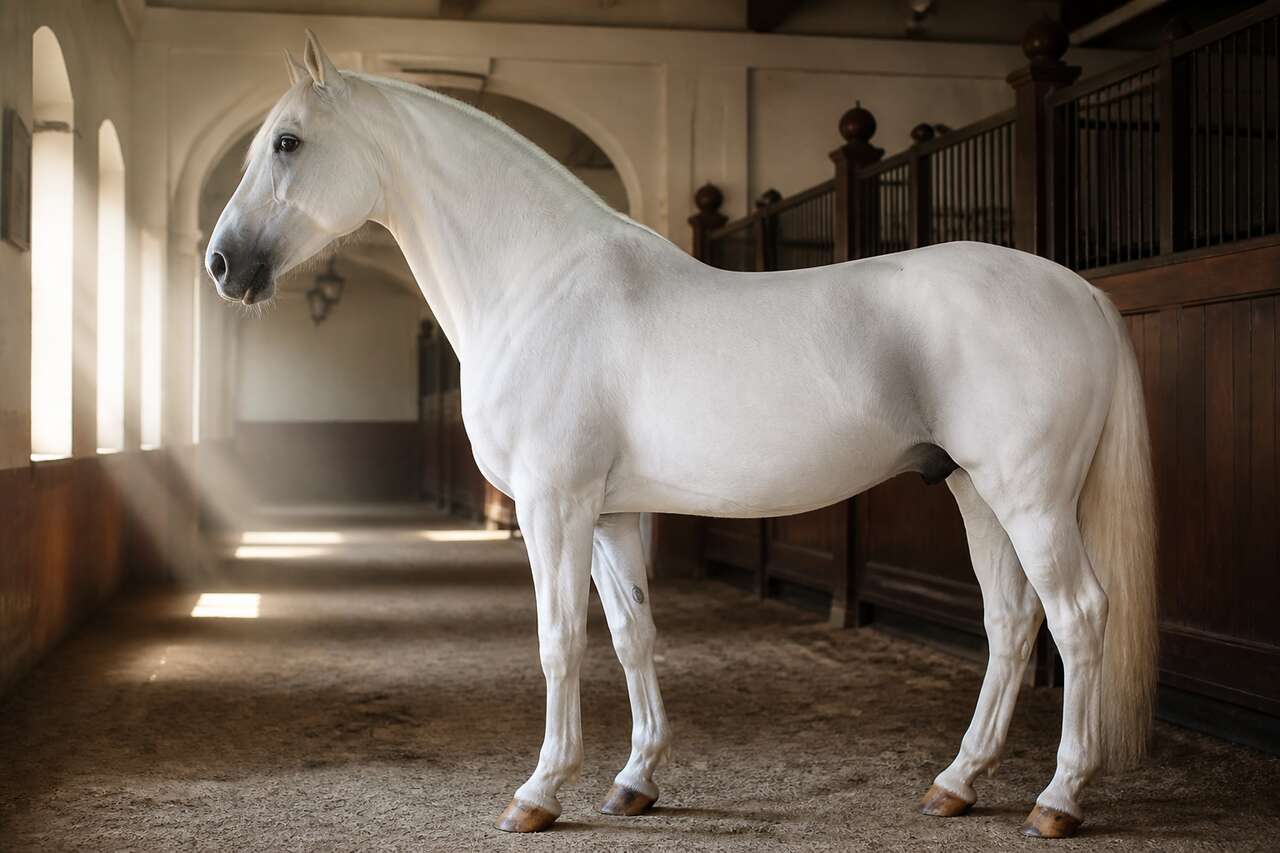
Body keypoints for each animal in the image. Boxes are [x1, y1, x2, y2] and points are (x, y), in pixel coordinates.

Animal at [206, 31, 1157, 840]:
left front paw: (538, 793)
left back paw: (1057, 799)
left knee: (1078, 615)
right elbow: (634, 634)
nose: (222, 264)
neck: (541, 282)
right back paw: (956, 783)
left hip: (1030, 496)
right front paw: (634, 782)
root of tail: (1080, 291)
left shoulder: (555, 506)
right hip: (971, 488)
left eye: (287, 142)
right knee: (1010, 622)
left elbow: (560, 640)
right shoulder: (610, 513)